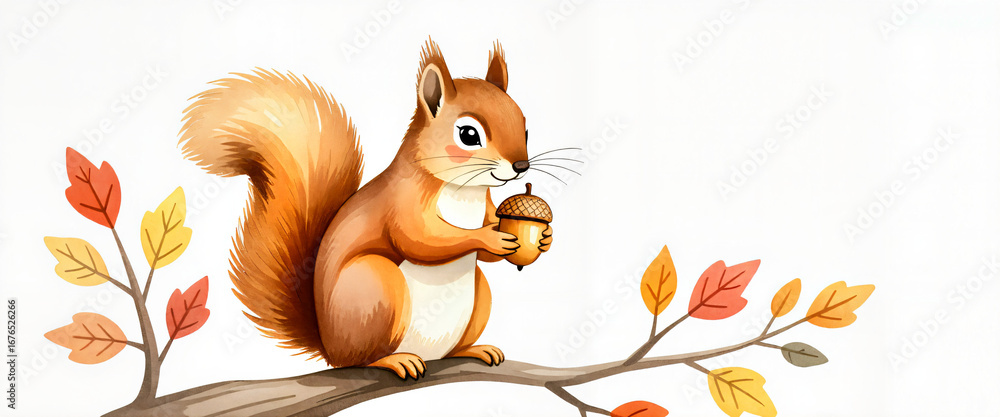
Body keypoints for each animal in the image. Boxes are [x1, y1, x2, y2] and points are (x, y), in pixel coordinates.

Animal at [177, 39, 551, 379]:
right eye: (469, 134)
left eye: (525, 128)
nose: (521, 166)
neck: (464, 191)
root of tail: (329, 346)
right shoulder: (402, 202)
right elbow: (420, 239)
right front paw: (489, 238)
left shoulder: (487, 207)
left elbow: (482, 253)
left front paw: (543, 238)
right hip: (376, 286)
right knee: (361, 358)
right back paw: (394, 360)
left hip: (477, 297)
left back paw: (474, 349)